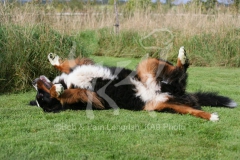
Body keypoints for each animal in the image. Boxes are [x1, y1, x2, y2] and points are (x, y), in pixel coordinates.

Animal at [29, 46, 236, 121]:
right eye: (41, 97)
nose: (33, 81)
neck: (69, 82)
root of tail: (172, 90)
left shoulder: (80, 66)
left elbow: (65, 65)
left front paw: (54, 60)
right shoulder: (92, 97)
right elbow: (66, 95)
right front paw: (57, 89)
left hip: (146, 65)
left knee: (177, 68)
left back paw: (182, 57)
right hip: (161, 105)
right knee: (192, 109)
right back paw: (210, 116)